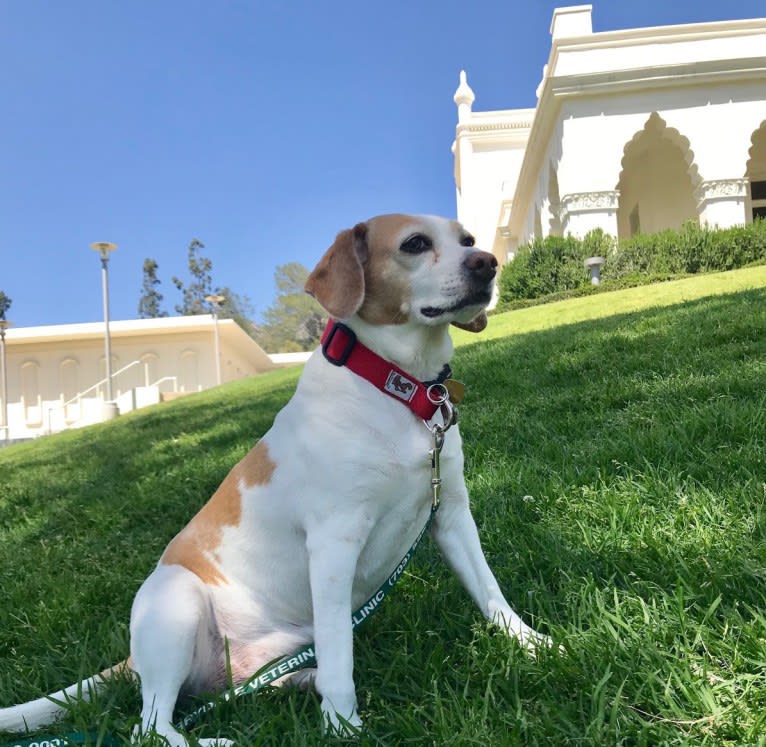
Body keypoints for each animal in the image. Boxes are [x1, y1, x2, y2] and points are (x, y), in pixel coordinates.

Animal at [0, 213, 552, 744]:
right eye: (415, 243)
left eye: (468, 239)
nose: (488, 263)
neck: (398, 389)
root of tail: (131, 660)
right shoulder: (333, 542)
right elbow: (340, 654)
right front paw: (343, 725)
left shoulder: (451, 515)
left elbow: (491, 594)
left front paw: (538, 646)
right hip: (178, 599)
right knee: (151, 728)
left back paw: (302, 679)